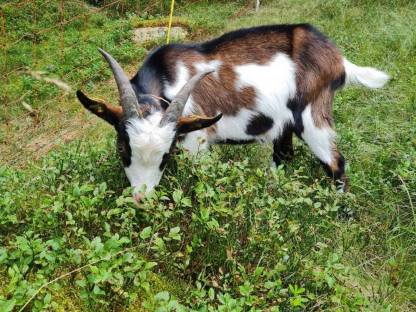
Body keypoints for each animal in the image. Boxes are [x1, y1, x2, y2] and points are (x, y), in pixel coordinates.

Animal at [75, 23, 390, 200]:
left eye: (167, 155)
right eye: (122, 148)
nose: (141, 198)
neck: (165, 79)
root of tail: (338, 60)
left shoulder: (195, 142)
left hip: (312, 115)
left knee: (336, 164)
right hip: (285, 124)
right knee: (283, 156)